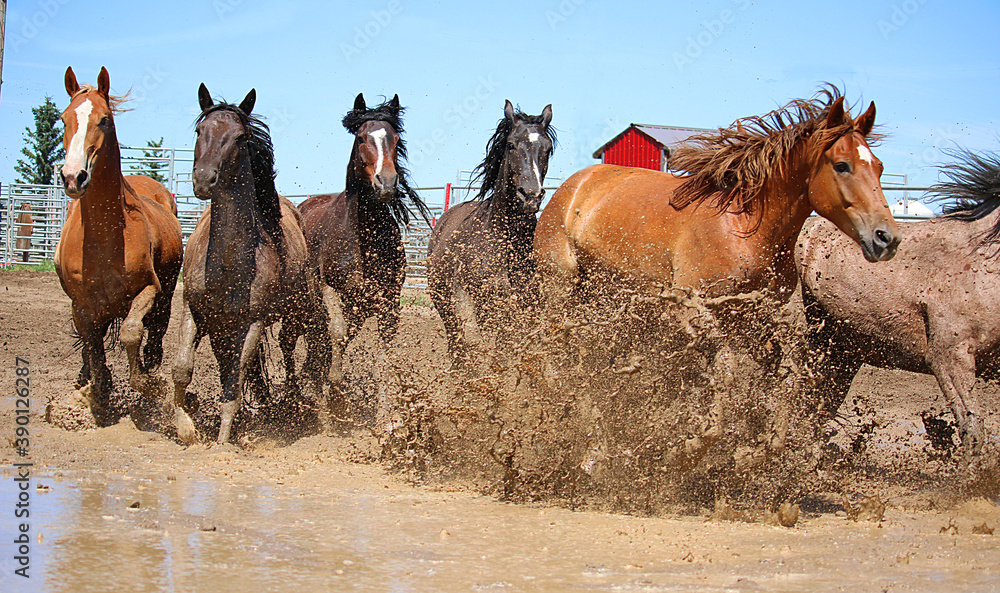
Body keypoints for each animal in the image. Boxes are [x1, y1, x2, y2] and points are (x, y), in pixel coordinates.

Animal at [54, 66, 183, 424]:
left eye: (104, 120)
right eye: (64, 118)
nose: (73, 177)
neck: (104, 237)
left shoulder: (149, 289)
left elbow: (129, 333)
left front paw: (150, 385)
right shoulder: (81, 306)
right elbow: (93, 350)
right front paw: (97, 394)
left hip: (165, 297)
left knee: (153, 337)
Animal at [170, 84, 331, 444]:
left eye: (240, 136)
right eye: (200, 130)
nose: (204, 179)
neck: (228, 264)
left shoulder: (253, 321)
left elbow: (236, 378)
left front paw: (222, 441)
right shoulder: (193, 309)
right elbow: (183, 368)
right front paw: (186, 426)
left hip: (296, 311)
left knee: (288, 349)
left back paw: (293, 402)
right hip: (223, 328)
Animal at [292, 93, 430, 392]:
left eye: (396, 139)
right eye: (361, 137)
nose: (387, 181)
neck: (364, 241)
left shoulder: (388, 300)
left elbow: (384, 355)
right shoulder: (329, 289)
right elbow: (337, 333)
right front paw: (334, 385)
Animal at [427, 100, 554, 362]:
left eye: (547, 149)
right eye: (511, 144)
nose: (530, 195)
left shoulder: (531, 306)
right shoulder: (487, 306)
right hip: (444, 300)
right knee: (456, 341)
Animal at [534, 87, 900, 310]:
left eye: (880, 166)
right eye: (842, 165)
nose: (887, 237)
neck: (745, 228)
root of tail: (568, 189)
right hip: (558, 284)